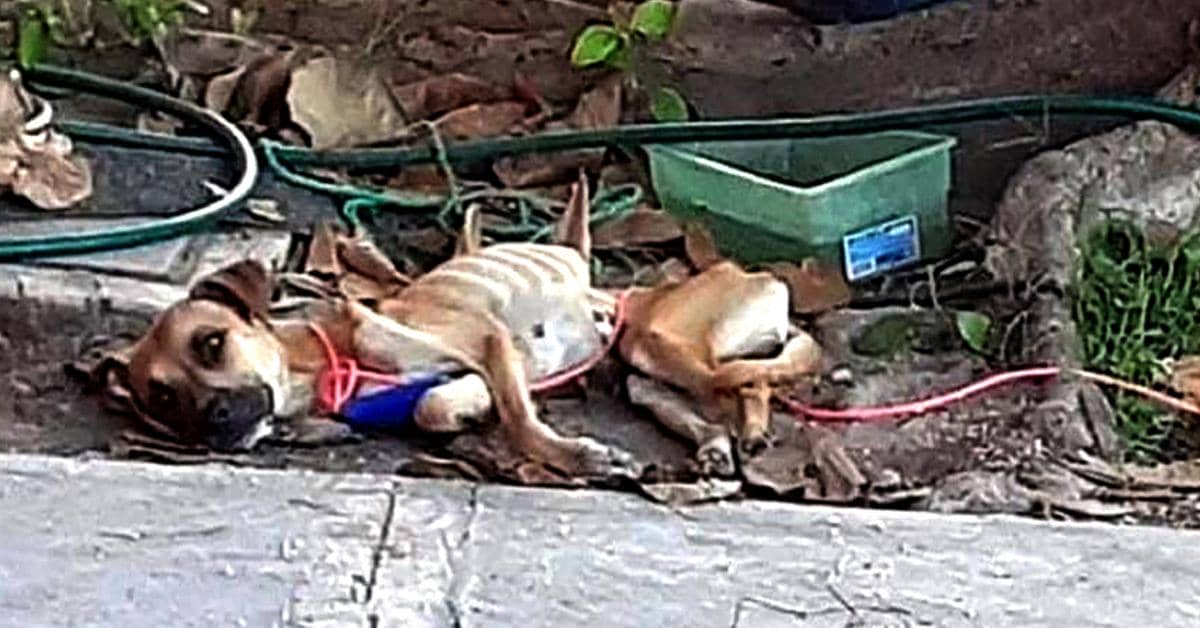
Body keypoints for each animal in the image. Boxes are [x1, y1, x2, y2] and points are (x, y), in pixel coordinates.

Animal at [90, 177, 822, 477]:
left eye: (211, 343)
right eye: (162, 397)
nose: (211, 419)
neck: (331, 361)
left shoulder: (484, 341)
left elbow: (512, 417)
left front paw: (572, 456)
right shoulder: (478, 368)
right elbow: (440, 404)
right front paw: (472, 415)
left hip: (665, 341)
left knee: (754, 380)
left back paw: (750, 424)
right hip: (643, 376)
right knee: (703, 404)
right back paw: (717, 445)